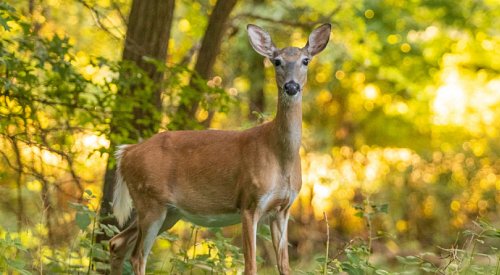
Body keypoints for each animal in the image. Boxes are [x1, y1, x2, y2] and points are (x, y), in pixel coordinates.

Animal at [107, 22, 330, 274]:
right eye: (277, 61)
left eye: (306, 60)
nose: (291, 86)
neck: (279, 155)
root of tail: (126, 153)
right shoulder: (249, 201)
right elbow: (250, 266)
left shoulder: (283, 209)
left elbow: (284, 266)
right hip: (150, 200)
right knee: (137, 255)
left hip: (169, 211)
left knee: (117, 243)